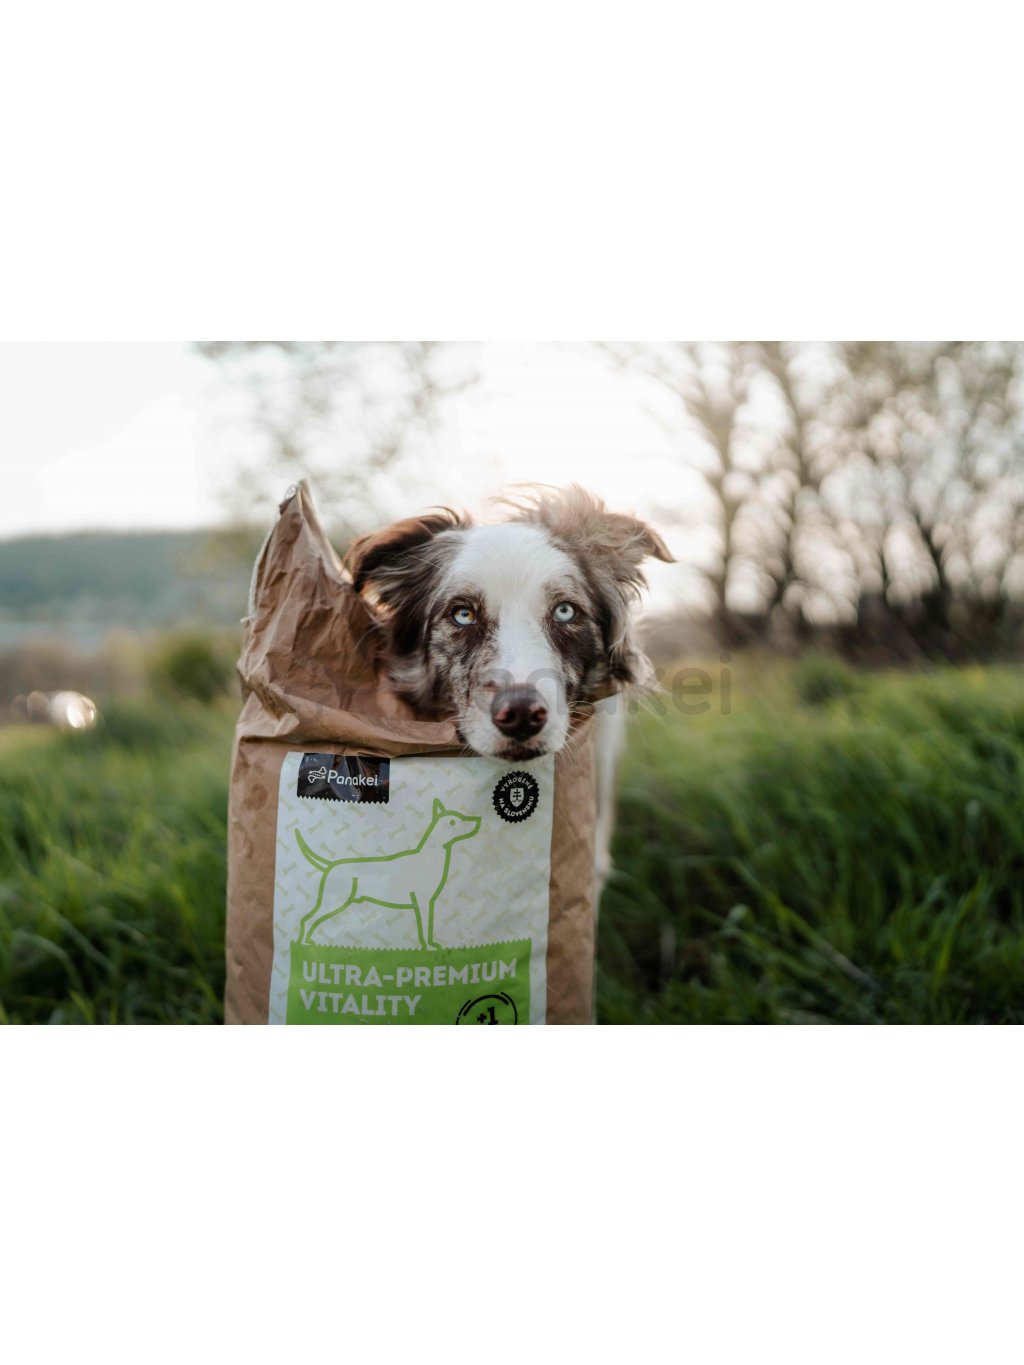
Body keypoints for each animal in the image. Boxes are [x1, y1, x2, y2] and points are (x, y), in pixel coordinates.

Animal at [296, 798, 480, 948]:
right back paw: (304, 943)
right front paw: (428, 946)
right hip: (335, 900)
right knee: (308, 918)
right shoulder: (422, 902)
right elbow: (424, 928)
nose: (477, 820)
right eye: (453, 822)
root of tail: (331, 865)